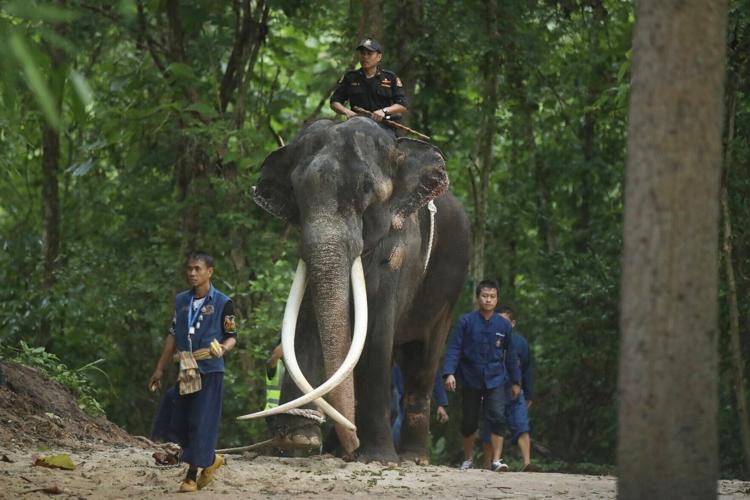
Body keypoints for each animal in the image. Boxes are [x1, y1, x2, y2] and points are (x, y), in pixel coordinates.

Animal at [243, 116, 470, 463]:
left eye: (365, 189)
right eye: (296, 191)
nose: (351, 443)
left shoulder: (401, 248)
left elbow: (376, 332)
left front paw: (376, 458)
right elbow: (304, 324)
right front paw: (301, 439)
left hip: (449, 290)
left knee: (423, 359)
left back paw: (410, 458)